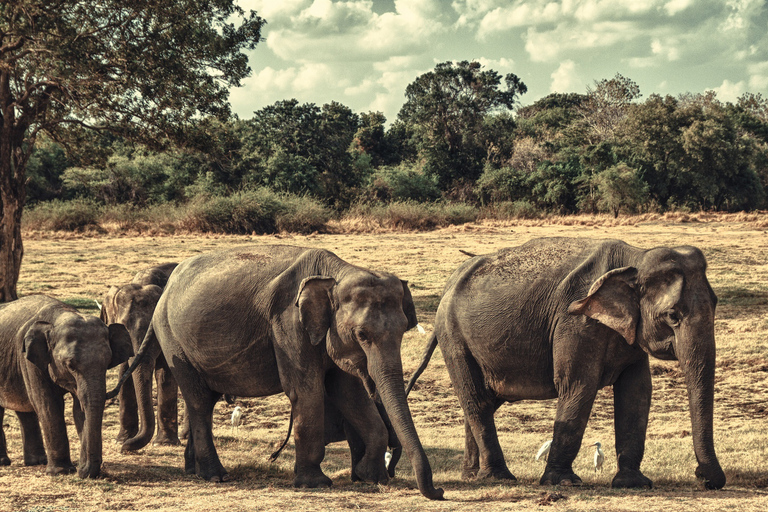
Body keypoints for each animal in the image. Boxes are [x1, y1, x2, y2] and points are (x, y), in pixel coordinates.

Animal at [0, 294, 131, 478]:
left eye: (107, 363)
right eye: (70, 365)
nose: (83, 471)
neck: (61, 314)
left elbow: (80, 407)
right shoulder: (28, 360)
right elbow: (48, 405)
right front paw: (62, 471)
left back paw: (37, 462)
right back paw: (5, 462)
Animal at [100, 262, 178, 450]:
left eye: (154, 330)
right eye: (122, 328)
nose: (124, 450)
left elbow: (165, 375)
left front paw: (163, 443)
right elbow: (125, 374)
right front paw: (121, 440)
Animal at [110, 244, 440, 500]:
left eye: (405, 329)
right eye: (361, 334)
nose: (439, 492)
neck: (337, 273)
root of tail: (166, 290)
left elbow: (348, 392)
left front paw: (370, 476)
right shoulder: (287, 323)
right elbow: (306, 391)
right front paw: (315, 484)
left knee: (205, 399)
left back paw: (195, 471)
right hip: (173, 340)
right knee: (199, 401)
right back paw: (215, 476)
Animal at [408, 238, 728, 490]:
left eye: (715, 304)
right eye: (673, 315)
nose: (703, 477)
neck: (635, 257)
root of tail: (450, 282)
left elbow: (636, 392)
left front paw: (634, 484)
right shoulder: (575, 321)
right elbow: (578, 385)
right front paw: (563, 482)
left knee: (482, 401)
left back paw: (473, 475)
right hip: (454, 337)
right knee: (476, 399)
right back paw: (499, 478)